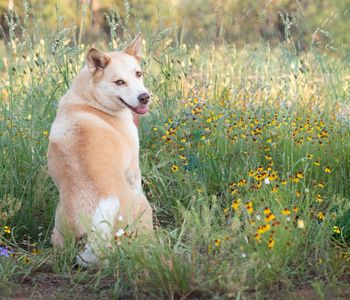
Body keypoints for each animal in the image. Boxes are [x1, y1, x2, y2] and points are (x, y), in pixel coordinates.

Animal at [47, 34, 153, 266]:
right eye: (119, 82)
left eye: (138, 74)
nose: (144, 97)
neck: (90, 100)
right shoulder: (133, 170)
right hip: (144, 206)